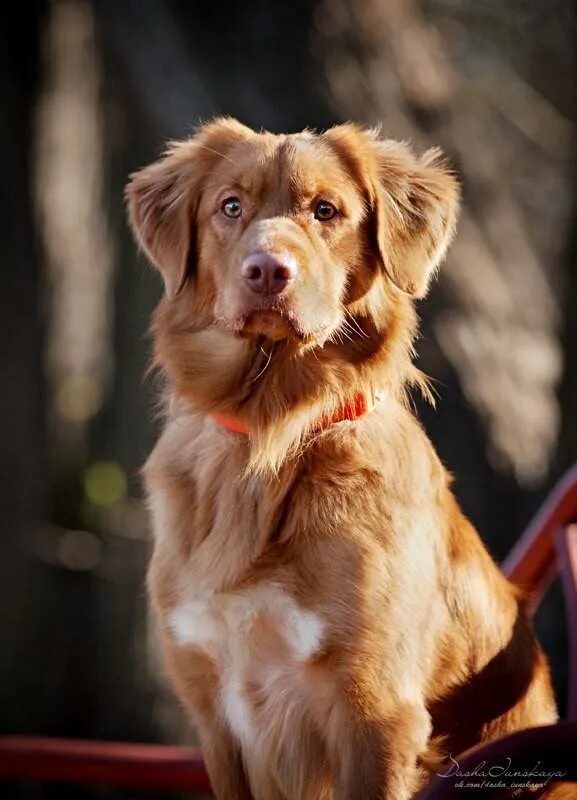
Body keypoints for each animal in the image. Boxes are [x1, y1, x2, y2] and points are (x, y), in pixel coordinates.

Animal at [126, 119, 560, 800]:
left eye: (325, 210)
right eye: (230, 206)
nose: (267, 270)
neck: (269, 433)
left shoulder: (375, 712)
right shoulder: (215, 714)